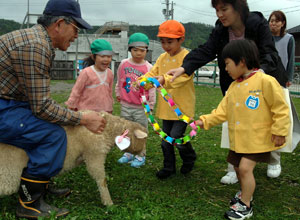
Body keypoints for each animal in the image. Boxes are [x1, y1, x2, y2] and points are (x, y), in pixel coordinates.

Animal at [0, 111, 148, 206]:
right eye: (143, 140)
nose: (144, 155)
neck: (108, 129)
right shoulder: (94, 155)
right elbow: (102, 180)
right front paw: (108, 202)